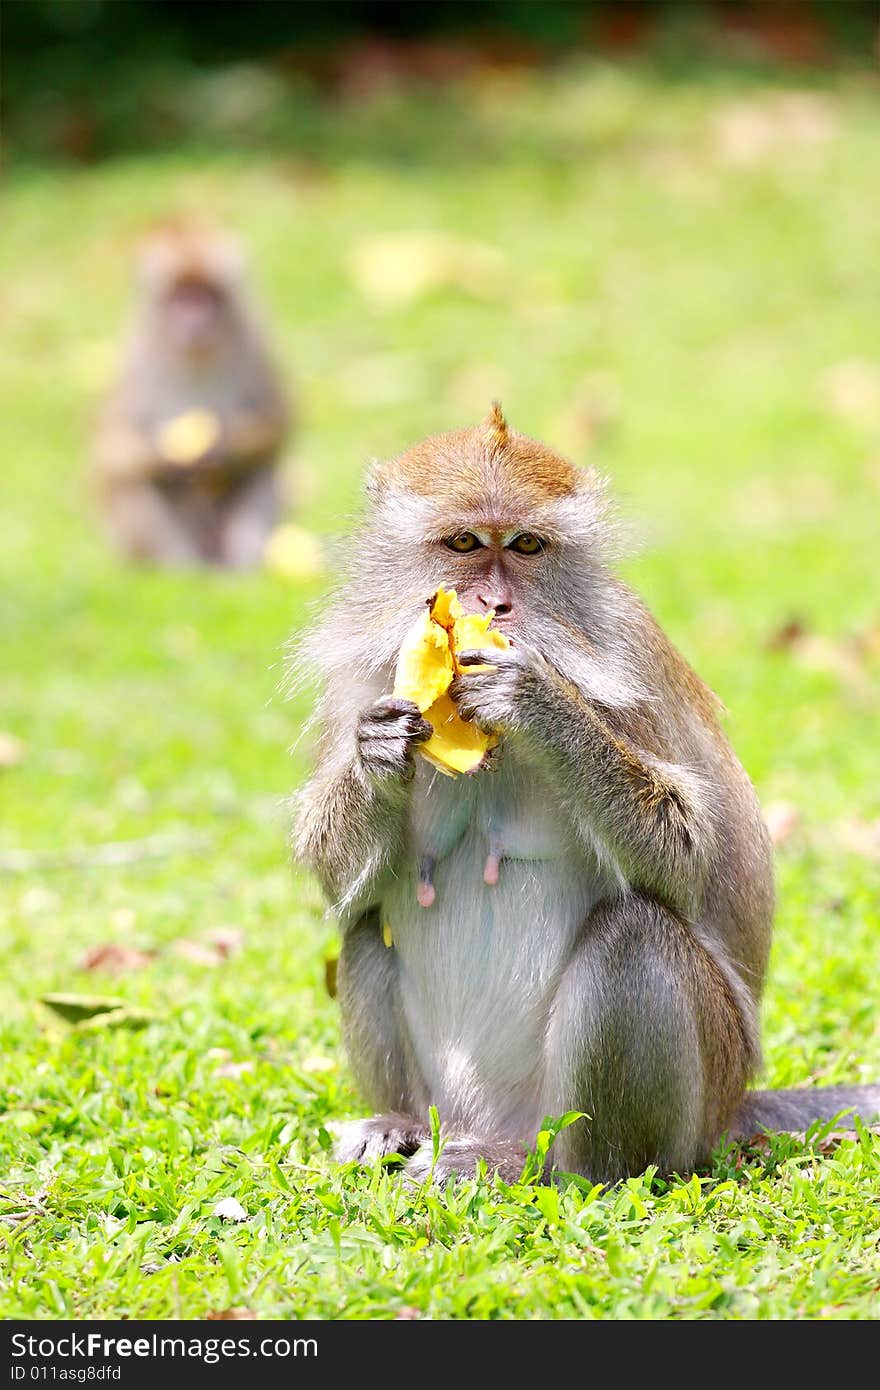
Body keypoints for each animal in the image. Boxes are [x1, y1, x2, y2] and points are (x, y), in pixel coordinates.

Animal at [94, 225, 290, 567]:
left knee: (265, 470)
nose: (195, 320)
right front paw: (168, 458)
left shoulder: (256, 348)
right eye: (180, 298)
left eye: (205, 296)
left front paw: (223, 448)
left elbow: (276, 425)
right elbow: (114, 449)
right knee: (133, 484)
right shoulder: (133, 367)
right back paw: (177, 565)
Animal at [291, 405, 873, 1184]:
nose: (495, 604)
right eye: (465, 543)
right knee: (364, 925)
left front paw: (539, 701)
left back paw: (545, 1167)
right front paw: (375, 750)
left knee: (635, 935)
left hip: (689, 1093)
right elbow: (339, 886)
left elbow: (693, 859)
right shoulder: (359, 677)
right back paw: (404, 1125)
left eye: (527, 545)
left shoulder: (630, 660)